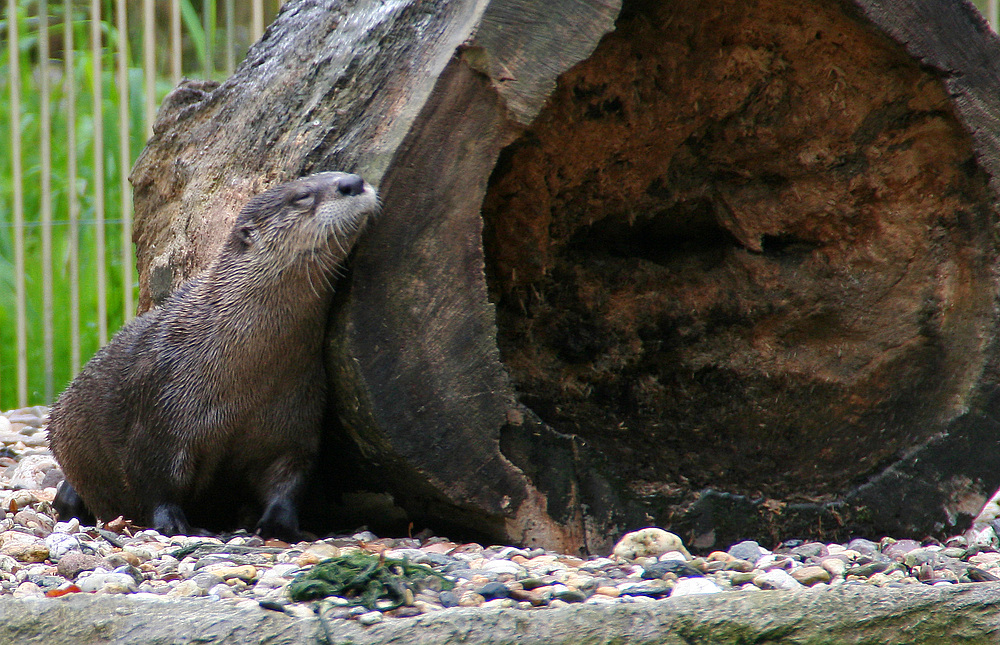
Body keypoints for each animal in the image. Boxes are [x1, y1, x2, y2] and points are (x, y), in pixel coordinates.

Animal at [47, 171, 376, 540]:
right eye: (302, 196)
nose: (353, 182)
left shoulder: (295, 421)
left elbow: (289, 480)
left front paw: (280, 525)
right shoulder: (160, 409)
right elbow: (152, 481)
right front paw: (172, 524)